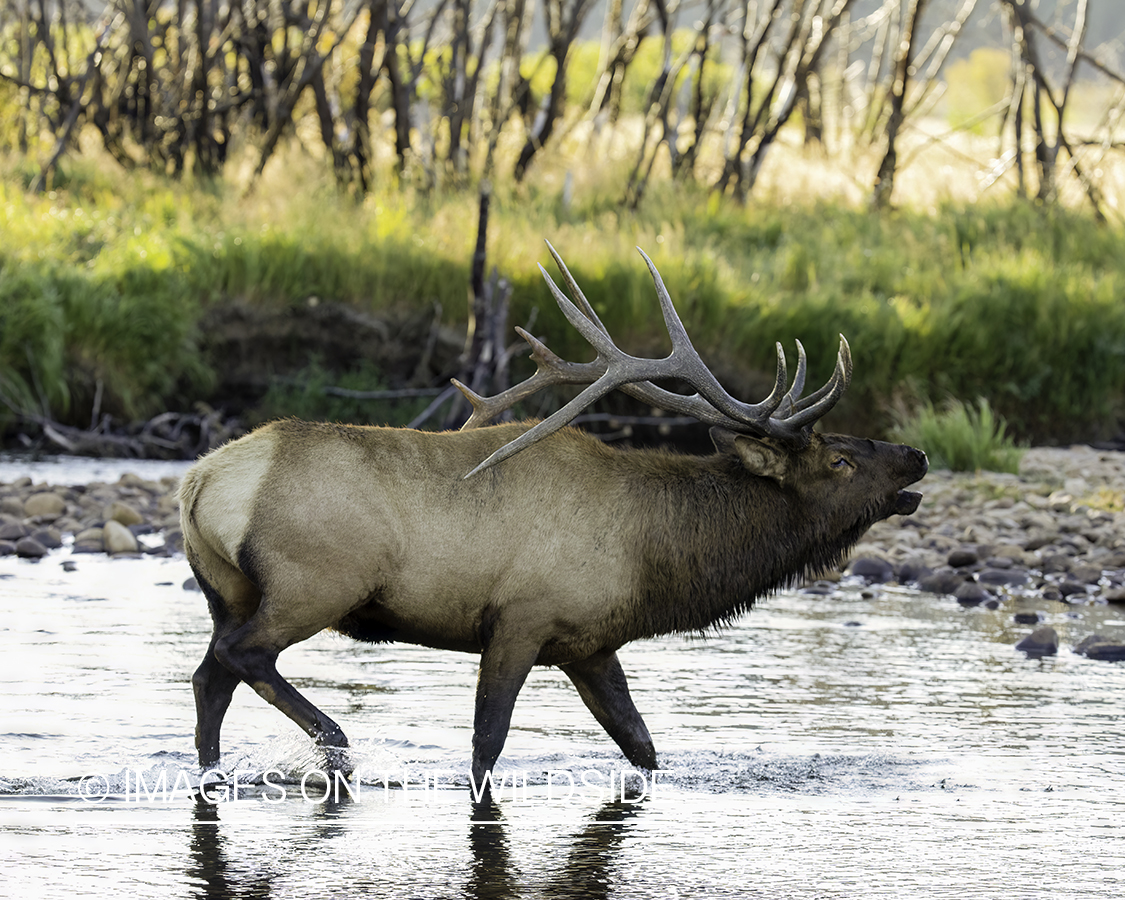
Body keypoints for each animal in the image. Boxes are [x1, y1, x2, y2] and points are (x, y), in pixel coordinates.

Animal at [180, 243, 927, 792]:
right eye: (839, 460)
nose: (916, 456)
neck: (656, 560)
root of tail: (198, 480)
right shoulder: (520, 619)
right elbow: (486, 745)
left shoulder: (591, 645)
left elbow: (641, 745)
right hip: (316, 583)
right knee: (242, 654)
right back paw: (335, 747)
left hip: (228, 590)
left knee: (210, 675)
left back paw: (213, 772)